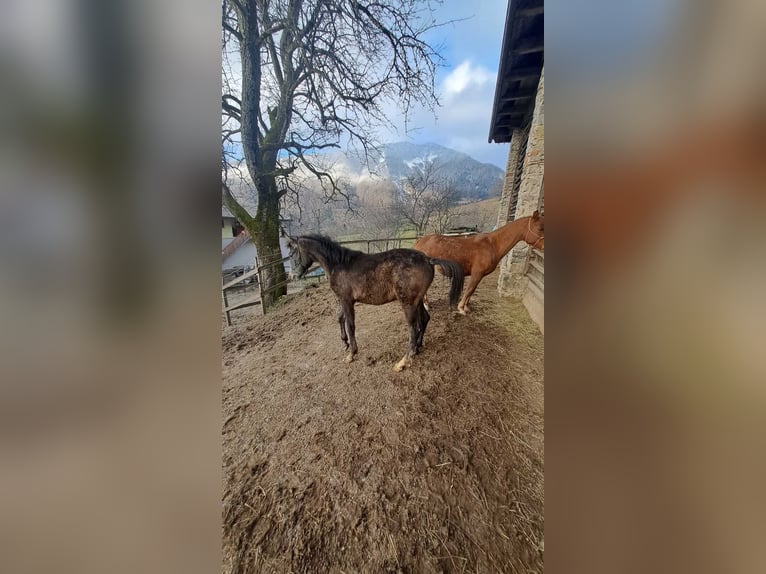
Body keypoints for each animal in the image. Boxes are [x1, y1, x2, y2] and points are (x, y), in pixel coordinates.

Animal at [285, 234, 464, 372]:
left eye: (292, 253)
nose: (292, 276)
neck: (339, 264)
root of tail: (428, 259)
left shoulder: (346, 300)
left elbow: (350, 325)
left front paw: (351, 354)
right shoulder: (344, 299)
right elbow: (340, 318)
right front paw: (345, 344)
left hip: (408, 303)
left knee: (413, 329)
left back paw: (403, 361)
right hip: (418, 300)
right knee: (424, 319)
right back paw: (418, 348)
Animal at [413, 211, 544, 314]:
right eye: (540, 228)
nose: (544, 247)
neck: (492, 244)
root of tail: (419, 242)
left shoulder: (480, 275)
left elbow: (472, 290)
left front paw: (466, 307)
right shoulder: (477, 273)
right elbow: (469, 289)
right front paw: (461, 308)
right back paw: (426, 305)